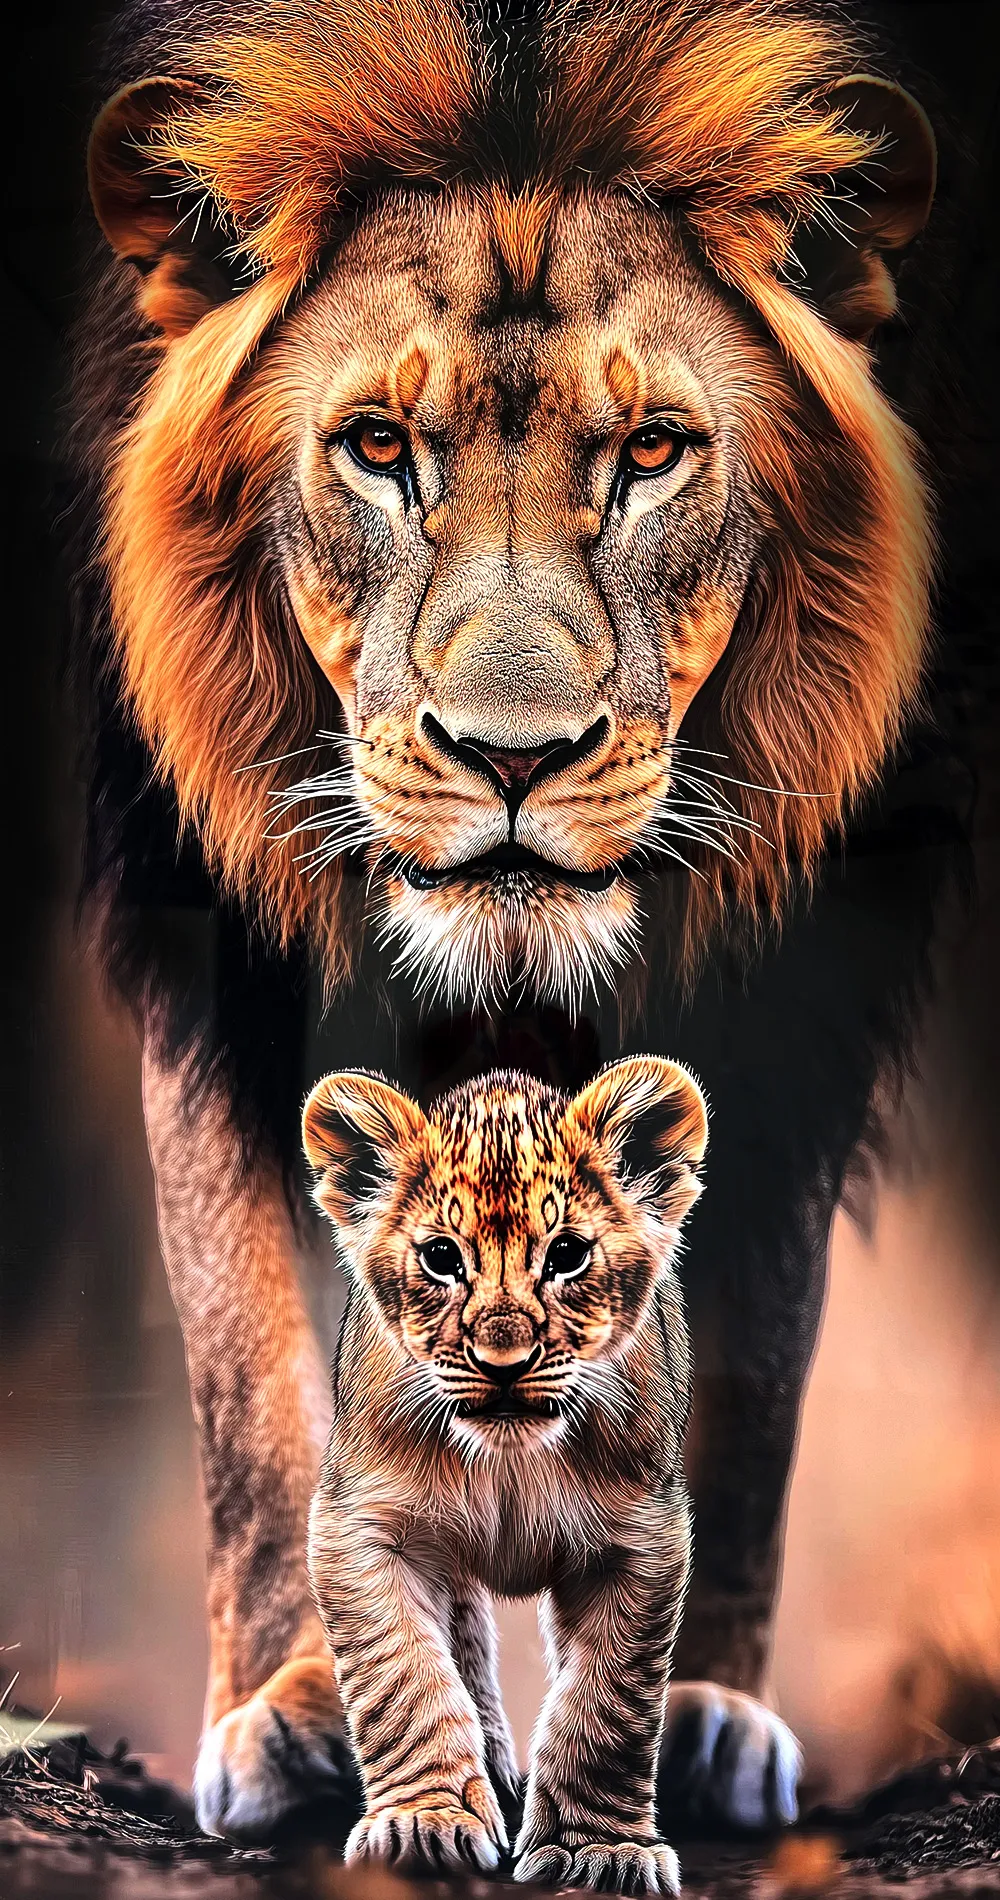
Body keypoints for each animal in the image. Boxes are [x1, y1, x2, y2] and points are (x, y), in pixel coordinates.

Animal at [70, 0, 937, 1844]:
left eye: (654, 450)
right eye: (379, 449)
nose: (516, 758)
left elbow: (751, 1338)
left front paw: (693, 1708)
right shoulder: (195, 900)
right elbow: (247, 1342)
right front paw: (304, 1702)